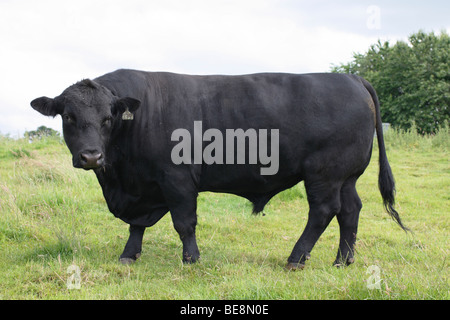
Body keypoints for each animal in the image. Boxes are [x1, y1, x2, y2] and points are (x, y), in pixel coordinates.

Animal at [31, 70, 408, 270]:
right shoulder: (143, 186)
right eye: (69, 117)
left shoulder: (177, 179)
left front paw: (191, 259)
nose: (91, 156)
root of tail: (351, 77)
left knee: (323, 211)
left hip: (324, 174)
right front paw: (128, 255)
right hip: (346, 177)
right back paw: (343, 261)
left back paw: (296, 258)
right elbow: (136, 226)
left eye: (108, 118)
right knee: (351, 211)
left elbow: (184, 222)